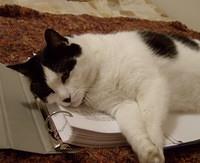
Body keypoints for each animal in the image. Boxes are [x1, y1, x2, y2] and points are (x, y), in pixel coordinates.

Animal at [7, 28, 200, 162]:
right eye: (48, 91)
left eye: (65, 74)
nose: (66, 99)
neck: (100, 76)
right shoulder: (122, 105)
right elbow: (133, 129)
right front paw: (147, 151)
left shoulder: (151, 83)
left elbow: (150, 118)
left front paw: (156, 144)